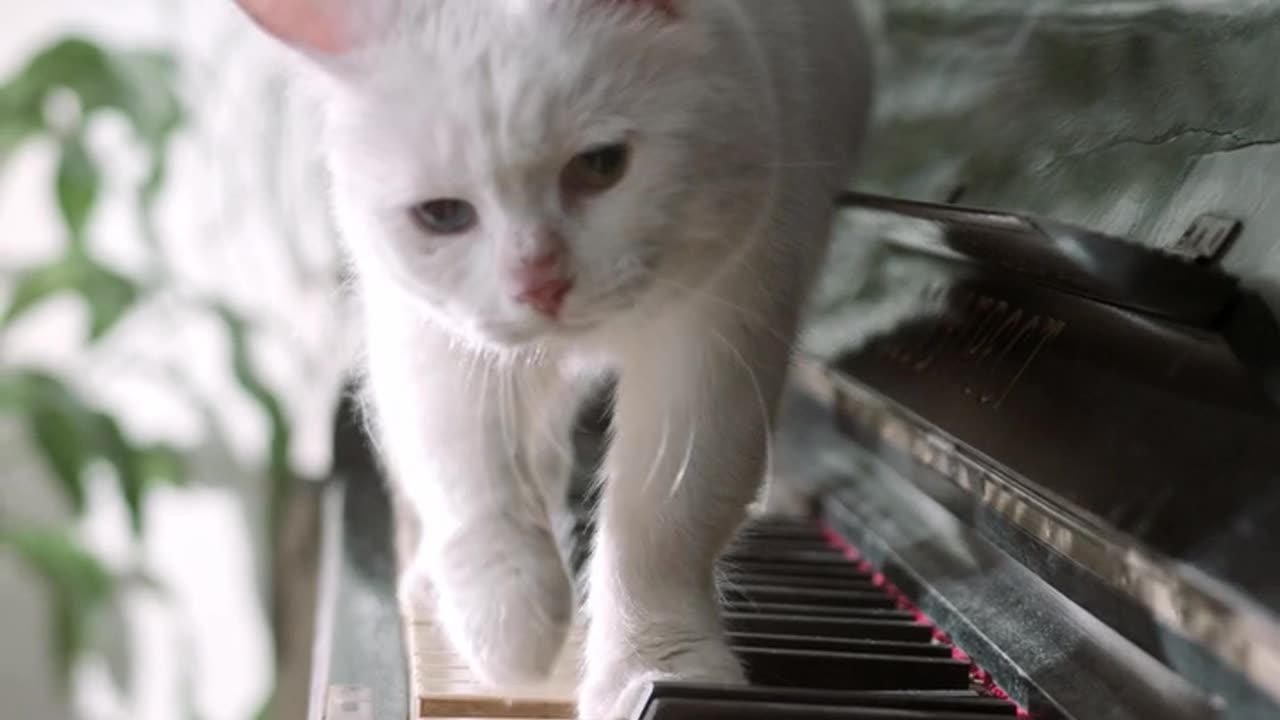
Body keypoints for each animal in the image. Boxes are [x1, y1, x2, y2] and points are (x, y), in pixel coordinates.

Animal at [232, 0, 870, 712]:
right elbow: (472, 480)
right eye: (442, 215)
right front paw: (510, 635)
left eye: (600, 165)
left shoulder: (719, 335)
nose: (540, 284)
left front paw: (656, 671)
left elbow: (663, 525)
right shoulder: (432, 339)